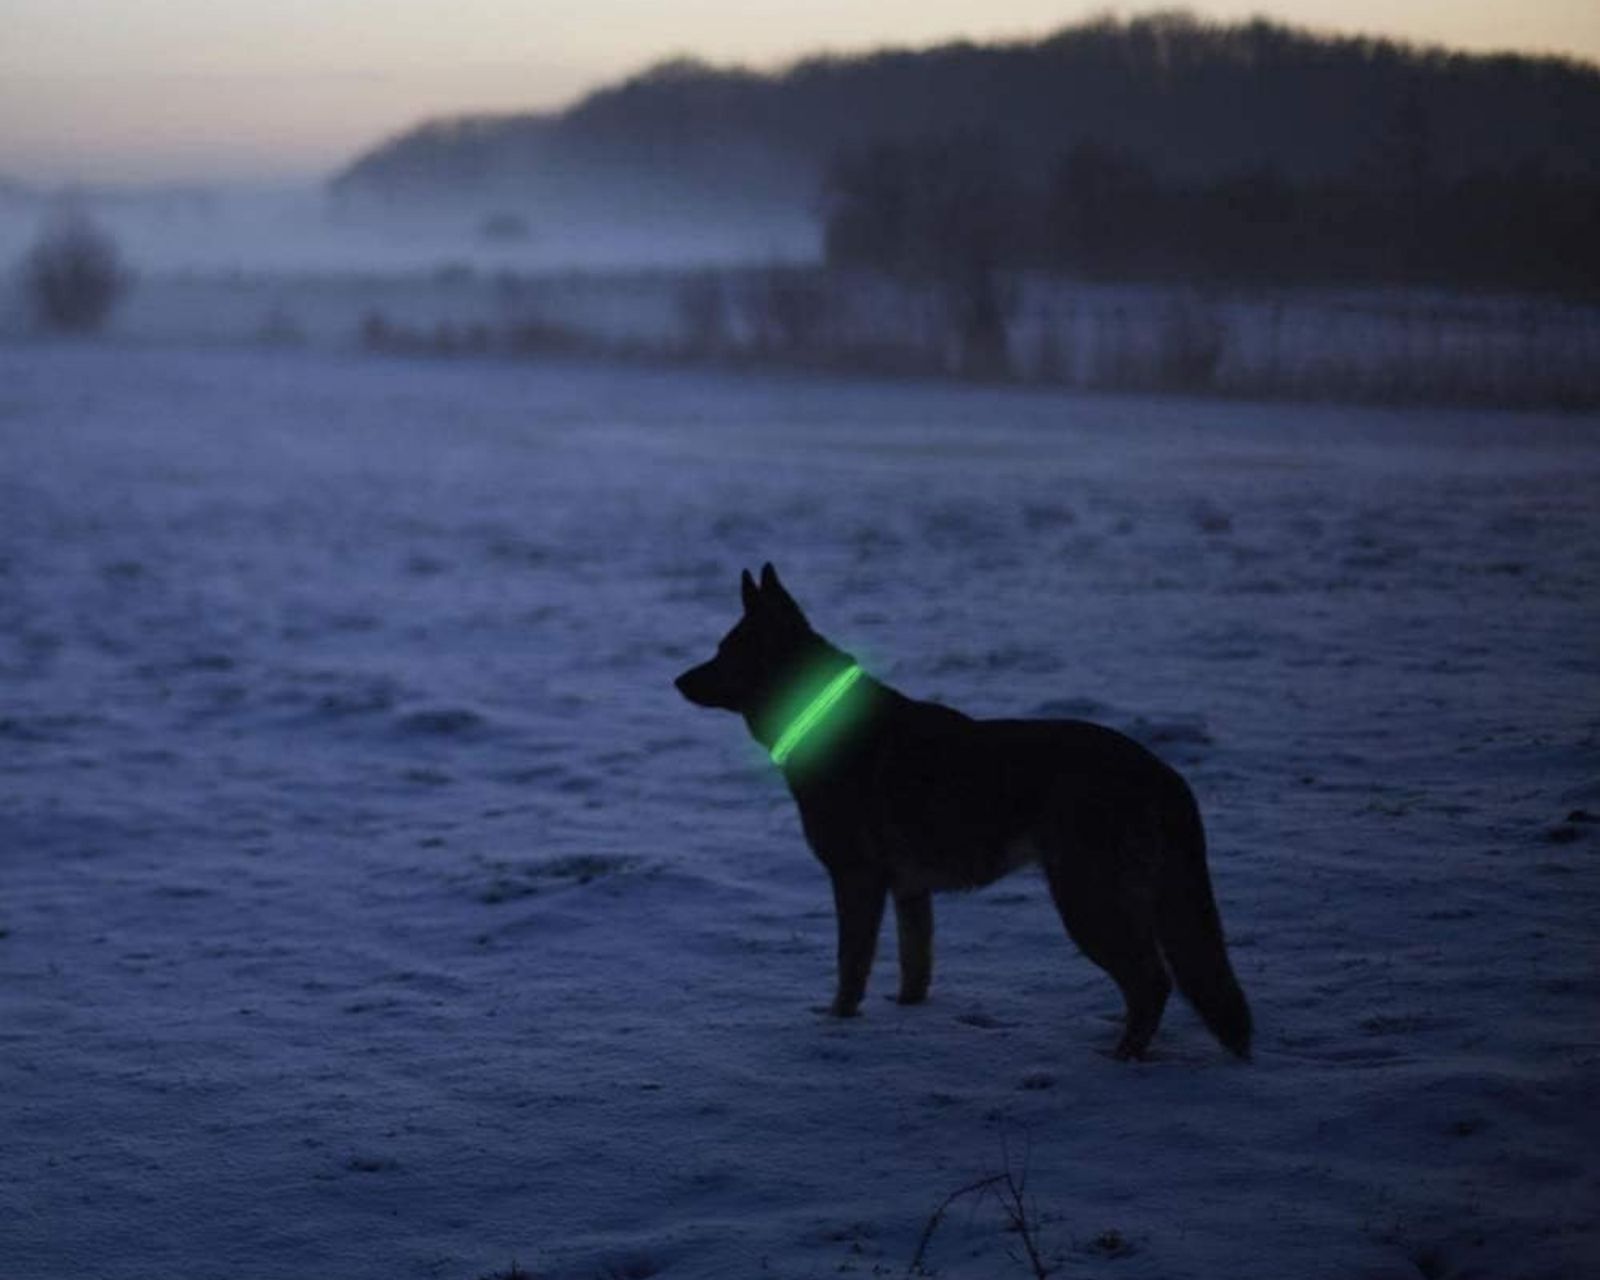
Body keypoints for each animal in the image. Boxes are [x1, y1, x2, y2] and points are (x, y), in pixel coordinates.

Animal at [675, 563, 1248, 1062]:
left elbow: (850, 967)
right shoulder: (910, 892)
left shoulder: (857, 881)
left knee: (1152, 982)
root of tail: (1164, 774)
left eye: (724, 651)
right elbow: (915, 965)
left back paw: (1122, 1057)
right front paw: (907, 1016)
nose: (677, 681)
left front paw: (837, 1025)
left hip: (1086, 900)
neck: (818, 714)